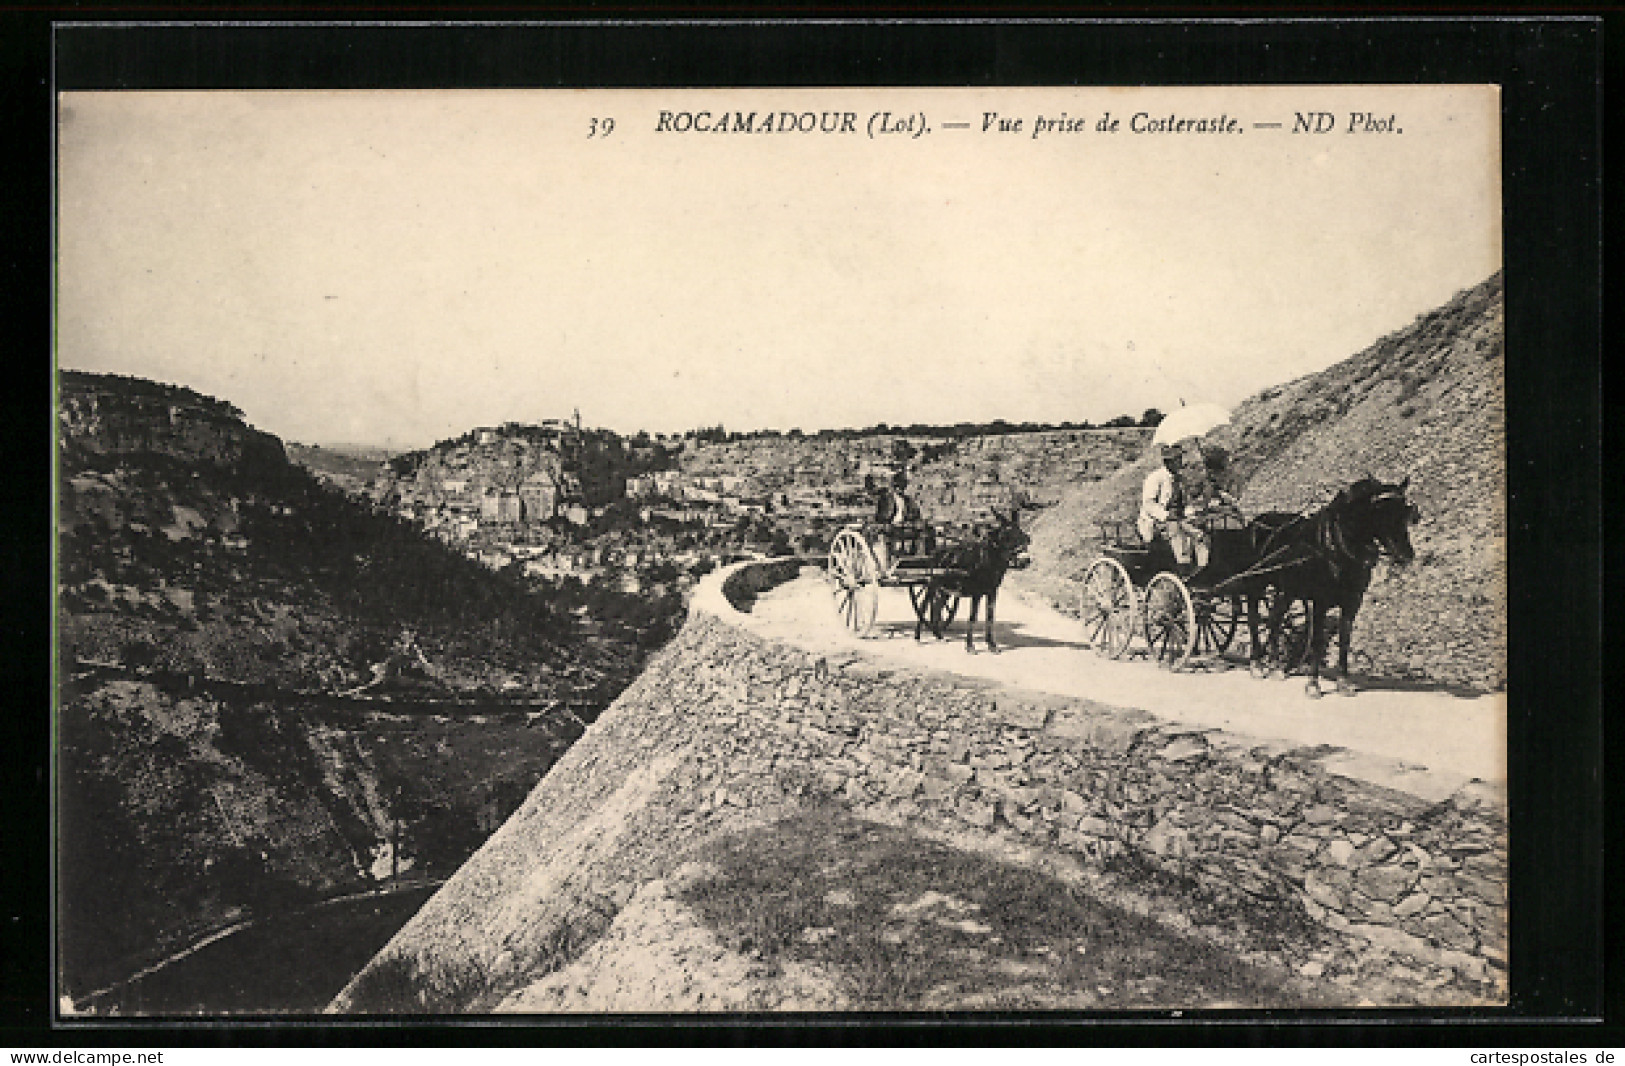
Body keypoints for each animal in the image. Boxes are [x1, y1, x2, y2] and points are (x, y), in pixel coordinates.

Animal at [916, 507, 1027, 653]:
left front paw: (991, 644)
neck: (987, 559)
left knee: (937, 607)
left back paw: (939, 635)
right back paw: (918, 637)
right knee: (923, 606)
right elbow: (973, 617)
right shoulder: (977, 593)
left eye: (1020, 532)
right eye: (1006, 534)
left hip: (945, 589)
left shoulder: (992, 592)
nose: (1025, 560)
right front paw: (969, 646)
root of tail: (936, 550)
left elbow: (990, 617)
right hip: (932, 585)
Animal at [1248, 477, 1417, 695]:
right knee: (1253, 619)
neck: (1337, 546)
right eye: (1382, 511)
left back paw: (1276, 666)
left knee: (1275, 619)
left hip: (1286, 590)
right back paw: (1257, 664)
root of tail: (1257, 521)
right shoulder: (1320, 601)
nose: (1406, 555)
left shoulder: (1353, 601)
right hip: (1256, 584)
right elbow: (1318, 640)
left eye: (1406, 511)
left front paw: (1343, 681)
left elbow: (1344, 639)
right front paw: (1313, 683)